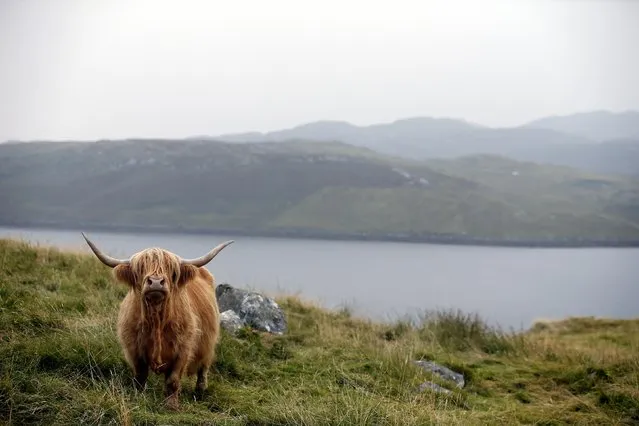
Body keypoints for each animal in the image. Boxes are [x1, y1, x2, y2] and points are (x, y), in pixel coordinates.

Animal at [81, 233, 234, 410]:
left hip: (208, 343)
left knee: (203, 368)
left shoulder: (183, 349)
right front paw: (138, 397)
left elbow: (173, 380)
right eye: (140, 268)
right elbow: (140, 376)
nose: (155, 281)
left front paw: (171, 406)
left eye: (171, 270)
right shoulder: (134, 348)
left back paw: (200, 391)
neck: (157, 321)